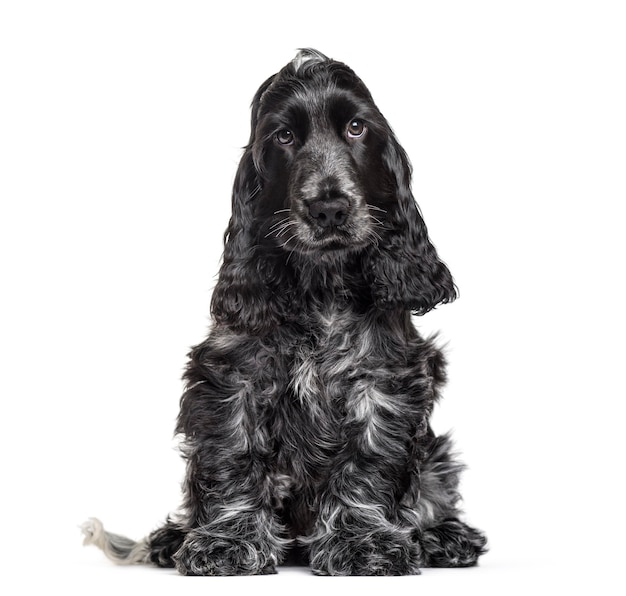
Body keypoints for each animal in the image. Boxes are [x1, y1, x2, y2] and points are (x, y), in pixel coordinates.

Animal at [80, 49, 486, 576]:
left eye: (356, 127)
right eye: (285, 137)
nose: (329, 209)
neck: (322, 286)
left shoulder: (384, 380)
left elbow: (367, 461)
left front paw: (364, 541)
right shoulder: (233, 377)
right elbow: (233, 458)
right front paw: (228, 541)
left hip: (435, 453)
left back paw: (445, 536)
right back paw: (172, 539)